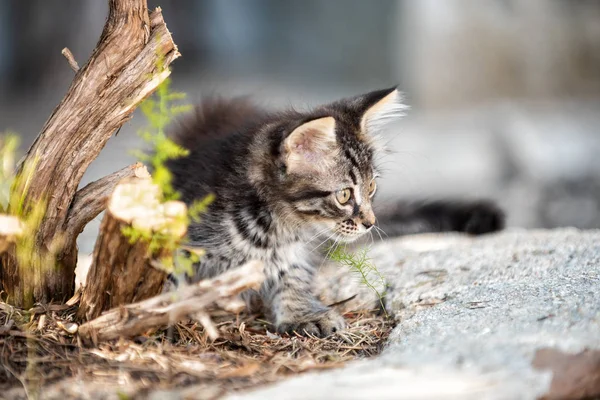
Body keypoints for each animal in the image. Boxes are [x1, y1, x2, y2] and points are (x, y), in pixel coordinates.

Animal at [166, 87, 504, 338]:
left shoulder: (293, 253)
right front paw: (166, 312)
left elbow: (294, 279)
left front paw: (303, 313)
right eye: (344, 195)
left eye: (371, 187)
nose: (370, 223)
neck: (270, 227)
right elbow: (166, 276)